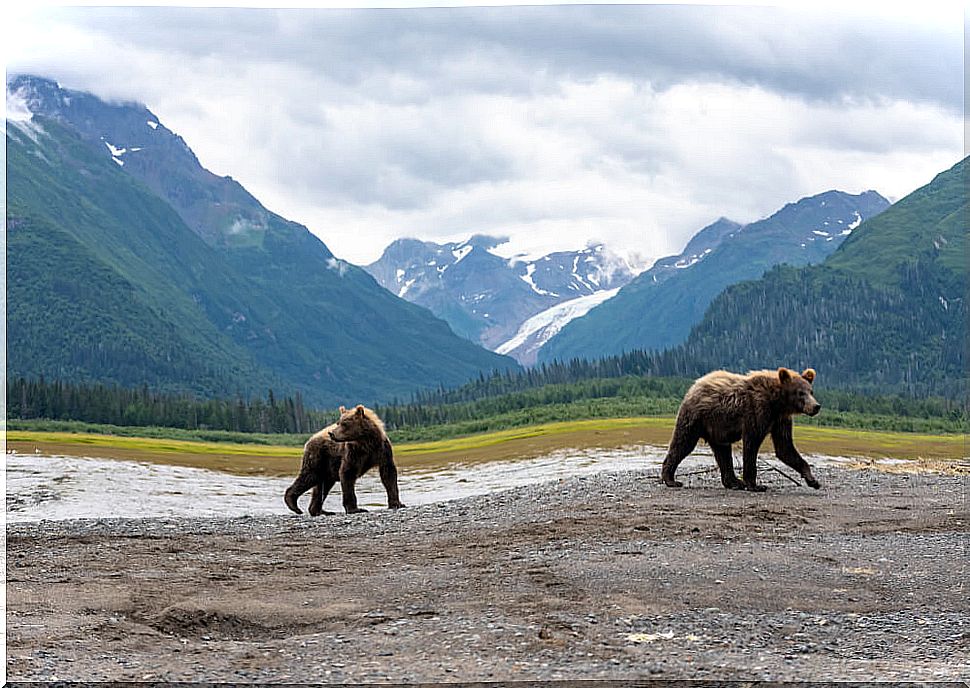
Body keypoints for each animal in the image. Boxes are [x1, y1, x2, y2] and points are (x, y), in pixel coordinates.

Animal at [656, 368, 816, 492]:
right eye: (800, 392)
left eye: (811, 391)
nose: (816, 406)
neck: (777, 403)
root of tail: (694, 385)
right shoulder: (757, 411)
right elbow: (752, 444)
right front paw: (756, 485)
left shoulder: (780, 420)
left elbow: (785, 447)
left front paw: (812, 480)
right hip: (696, 417)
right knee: (683, 443)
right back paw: (671, 479)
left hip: (717, 428)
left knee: (723, 453)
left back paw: (733, 482)